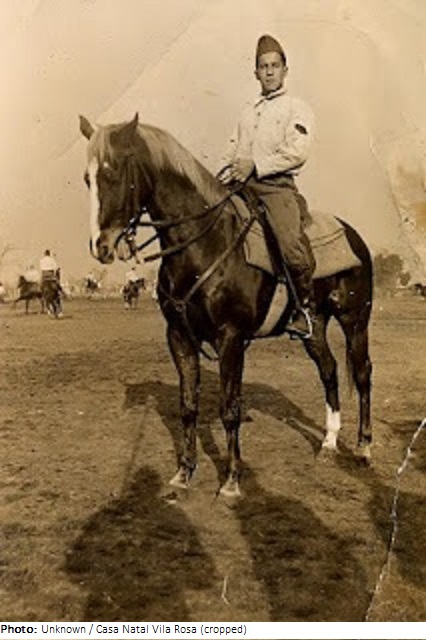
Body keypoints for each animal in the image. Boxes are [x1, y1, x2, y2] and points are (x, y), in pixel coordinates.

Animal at [79, 113, 373, 497]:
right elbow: (188, 406)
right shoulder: (179, 337)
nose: (100, 246)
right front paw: (184, 473)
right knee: (329, 370)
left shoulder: (230, 339)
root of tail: (353, 234)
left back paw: (364, 448)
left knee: (362, 373)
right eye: (87, 179)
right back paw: (329, 443)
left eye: (113, 173)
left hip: (355, 320)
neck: (204, 244)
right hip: (315, 326)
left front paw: (232, 480)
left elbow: (229, 409)